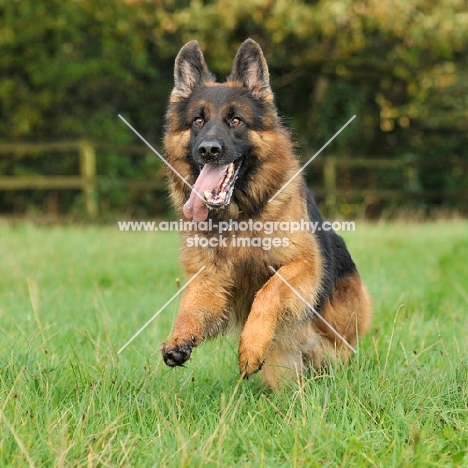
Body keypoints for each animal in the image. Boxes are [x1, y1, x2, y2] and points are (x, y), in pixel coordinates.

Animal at [162, 38, 372, 390]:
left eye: (236, 120)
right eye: (197, 121)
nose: (209, 149)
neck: (239, 217)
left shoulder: (303, 265)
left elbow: (269, 291)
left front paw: (251, 346)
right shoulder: (210, 278)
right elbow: (190, 305)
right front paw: (179, 337)